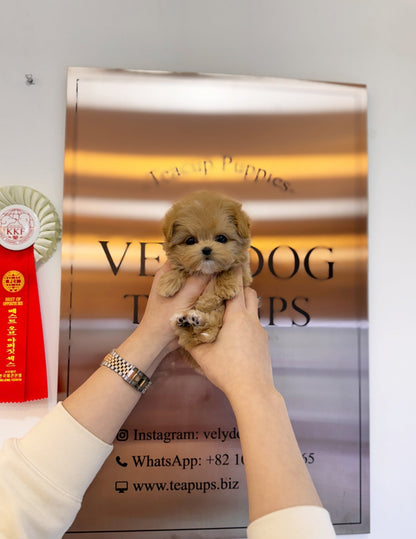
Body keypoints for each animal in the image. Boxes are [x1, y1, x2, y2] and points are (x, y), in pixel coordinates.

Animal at [158, 191, 252, 358]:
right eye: (190, 241)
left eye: (221, 238)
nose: (206, 249)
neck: (207, 271)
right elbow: (181, 268)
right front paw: (168, 283)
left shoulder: (244, 274)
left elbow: (229, 269)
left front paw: (224, 289)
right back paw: (185, 321)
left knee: (208, 330)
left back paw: (197, 320)